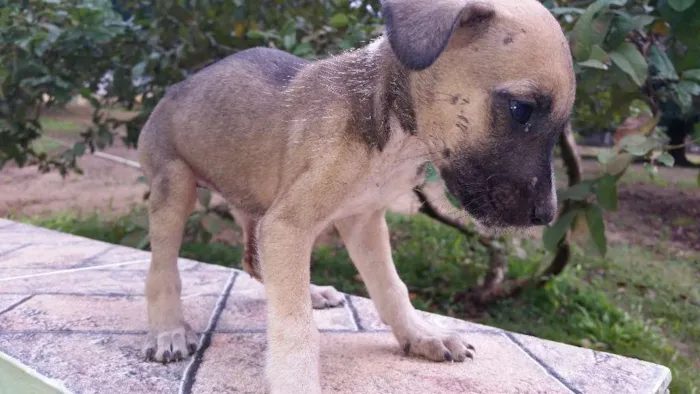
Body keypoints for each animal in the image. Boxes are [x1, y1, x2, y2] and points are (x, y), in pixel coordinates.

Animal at [135, 0, 576, 392]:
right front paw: (297, 383)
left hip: (254, 200)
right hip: (176, 186)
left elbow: (391, 287)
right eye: (521, 109)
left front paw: (422, 335)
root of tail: (174, 88)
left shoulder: (362, 220)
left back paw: (311, 292)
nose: (545, 215)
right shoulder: (288, 225)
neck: (397, 134)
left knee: (253, 261)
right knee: (163, 268)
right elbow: (295, 327)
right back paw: (168, 330)